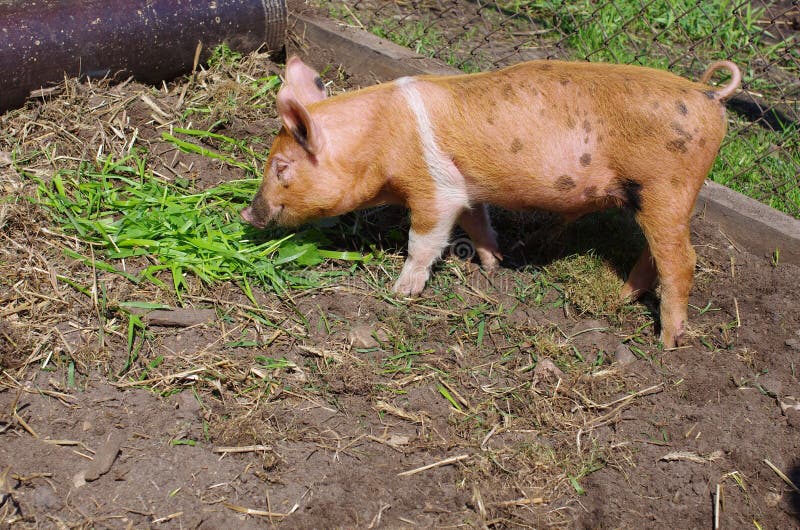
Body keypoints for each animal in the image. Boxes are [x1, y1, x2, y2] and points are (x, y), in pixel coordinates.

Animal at [241, 56, 741, 348]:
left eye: (281, 167)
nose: (247, 213)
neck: (378, 141)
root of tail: (710, 94)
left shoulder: (435, 188)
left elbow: (423, 240)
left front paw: (401, 294)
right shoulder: (465, 188)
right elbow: (478, 222)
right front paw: (492, 264)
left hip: (668, 187)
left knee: (683, 260)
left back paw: (667, 344)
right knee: (655, 254)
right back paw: (620, 299)